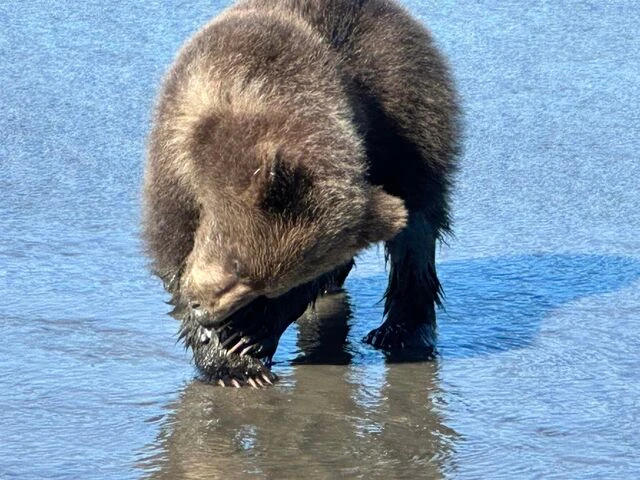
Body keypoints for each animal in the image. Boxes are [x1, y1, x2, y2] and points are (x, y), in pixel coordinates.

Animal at [143, 0, 459, 387]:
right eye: (236, 263)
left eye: (267, 285)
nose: (206, 312)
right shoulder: (176, 154)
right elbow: (171, 248)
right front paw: (230, 363)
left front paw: (248, 335)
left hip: (413, 121)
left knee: (417, 230)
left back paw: (400, 330)